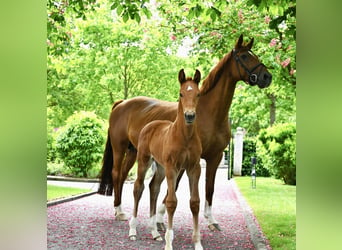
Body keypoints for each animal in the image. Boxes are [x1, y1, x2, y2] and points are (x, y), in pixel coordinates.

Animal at [99, 34, 272, 230]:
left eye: (255, 55)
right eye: (244, 56)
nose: (267, 77)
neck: (208, 113)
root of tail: (121, 103)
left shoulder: (215, 157)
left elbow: (209, 187)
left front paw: (211, 220)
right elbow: (173, 186)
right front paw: (160, 219)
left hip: (134, 151)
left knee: (122, 176)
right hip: (119, 148)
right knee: (116, 173)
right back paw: (119, 211)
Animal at [129, 69, 203, 249]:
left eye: (198, 94)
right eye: (181, 93)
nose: (189, 116)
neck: (185, 137)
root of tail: (150, 124)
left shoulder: (194, 168)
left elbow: (195, 202)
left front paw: (197, 243)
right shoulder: (172, 168)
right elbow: (171, 202)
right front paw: (169, 243)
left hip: (161, 167)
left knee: (153, 188)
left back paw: (155, 233)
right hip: (144, 161)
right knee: (138, 187)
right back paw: (132, 231)